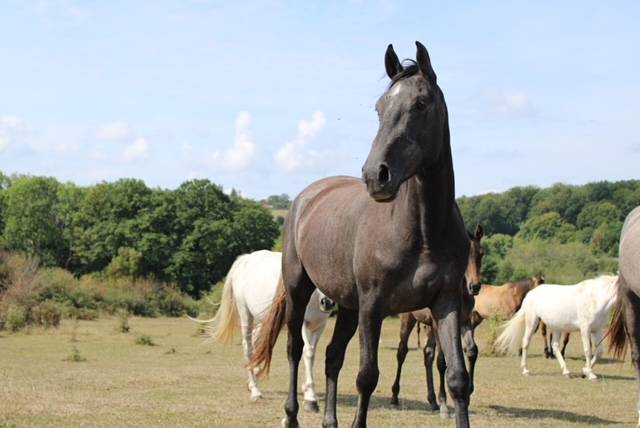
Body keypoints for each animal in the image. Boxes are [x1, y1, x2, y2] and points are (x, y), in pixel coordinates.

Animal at [190, 249, 334, 410]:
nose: (328, 302)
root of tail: (245, 259)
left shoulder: (319, 326)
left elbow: (311, 354)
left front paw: (307, 391)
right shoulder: (301, 324)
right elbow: (307, 353)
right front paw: (311, 398)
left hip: (263, 319)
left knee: (256, 341)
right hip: (246, 315)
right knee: (248, 347)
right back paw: (255, 391)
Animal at [249, 42, 472, 428]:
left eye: (420, 104)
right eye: (379, 108)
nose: (375, 175)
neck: (423, 233)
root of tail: (306, 197)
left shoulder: (446, 303)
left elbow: (458, 378)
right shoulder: (373, 306)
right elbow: (367, 376)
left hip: (348, 307)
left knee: (332, 356)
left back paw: (329, 420)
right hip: (299, 289)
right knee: (295, 348)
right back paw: (291, 416)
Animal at [390, 225, 483, 419]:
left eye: (482, 253)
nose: (475, 286)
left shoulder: (465, 322)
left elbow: (472, 350)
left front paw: (469, 392)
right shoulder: (438, 322)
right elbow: (442, 362)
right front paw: (444, 406)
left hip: (431, 327)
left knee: (427, 353)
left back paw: (432, 401)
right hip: (410, 320)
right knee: (402, 352)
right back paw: (395, 398)